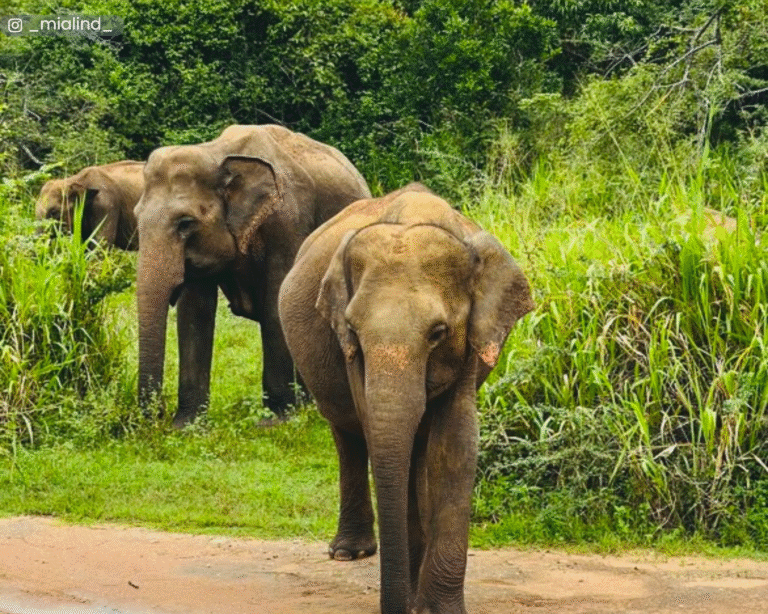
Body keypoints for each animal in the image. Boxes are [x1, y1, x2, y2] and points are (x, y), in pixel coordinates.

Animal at [134, 124, 371, 427]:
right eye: (136, 218)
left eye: (185, 223)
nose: (157, 416)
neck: (216, 153)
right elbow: (195, 312)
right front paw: (186, 426)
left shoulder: (287, 222)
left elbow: (276, 302)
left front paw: (275, 421)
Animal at [278, 183, 534, 614]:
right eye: (353, 330)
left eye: (438, 333)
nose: (398, 606)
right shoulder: (349, 349)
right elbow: (380, 430)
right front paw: (417, 599)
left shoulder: (471, 340)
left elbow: (454, 444)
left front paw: (439, 608)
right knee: (349, 435)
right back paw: (348, 553)